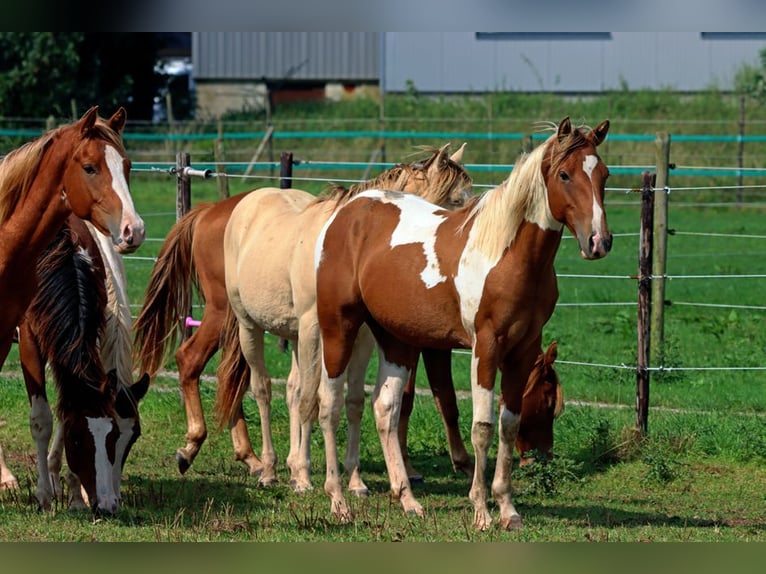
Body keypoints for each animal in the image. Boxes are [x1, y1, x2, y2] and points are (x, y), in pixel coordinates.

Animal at [0, 107, 146, 516]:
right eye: (90, 167)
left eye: (126, 438)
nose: (134, 230)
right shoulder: (29, 341)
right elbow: (42, 419)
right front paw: (44, 493)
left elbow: (66, 406)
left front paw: (71, 491)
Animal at [134, 144, 472, 482]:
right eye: (455, 200)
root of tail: (211, 210)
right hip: (231, 316)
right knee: (209, 367)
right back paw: (212, 449)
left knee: (248, 382)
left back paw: (256, 458)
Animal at [314, 117, 612, 532]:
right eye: (565, 174)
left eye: (604, 174)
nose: (598, 241)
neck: (506, 254)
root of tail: (346, 213)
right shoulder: (485, 346)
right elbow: (481, 426)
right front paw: (481, 510)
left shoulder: (522, 350)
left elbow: (508, 423)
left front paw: (508, 509)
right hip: (339, 328)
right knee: (330, 406)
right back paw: (338, 500)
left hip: (395, 339)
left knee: (386, 408)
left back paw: (408, 500)